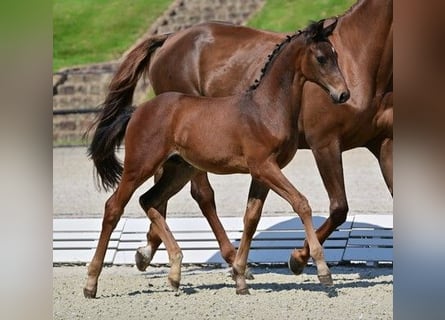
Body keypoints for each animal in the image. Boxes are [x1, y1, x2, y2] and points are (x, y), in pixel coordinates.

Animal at [99, 0, 390, 276]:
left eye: (336, 56)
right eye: (321, 58)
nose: (343, 94)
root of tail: (170, 37)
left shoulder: (383, 143)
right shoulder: (323, 143)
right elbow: (335, 207)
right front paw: (299, 260)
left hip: (178, 156)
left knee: (159, 193)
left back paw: (150, 251)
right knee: (199, 194)